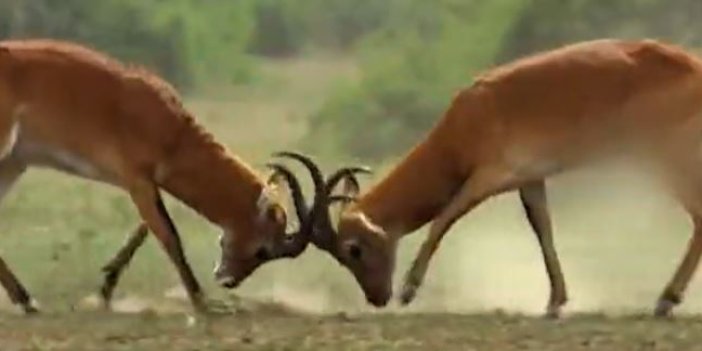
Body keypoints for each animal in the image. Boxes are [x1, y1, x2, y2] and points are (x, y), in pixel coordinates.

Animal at [0, 39, 368, 316]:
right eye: (263, 250)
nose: (227, 279)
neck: (171, 129)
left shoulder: (147, 183)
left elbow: (144, 230)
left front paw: (105, 289)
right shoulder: (137, 179)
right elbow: (169, 236)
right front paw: (202, 302)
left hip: (14, 164)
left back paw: (27, 301)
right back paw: (28, 301)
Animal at [306, 39, 702, 320]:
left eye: (353, 249)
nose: (377, 298)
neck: (467, 118)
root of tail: (694, 66)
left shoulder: (489, 177)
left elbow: (443, 219)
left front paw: (409, 289)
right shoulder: (531, 180)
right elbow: (543, 231)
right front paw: (555, 303)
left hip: (666, 159)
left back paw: (665, 300)